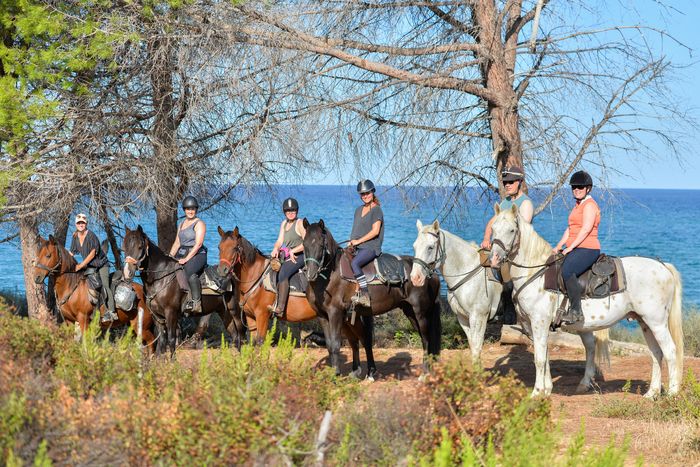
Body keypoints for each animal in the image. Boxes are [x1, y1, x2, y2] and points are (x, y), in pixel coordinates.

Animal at [122, 227, 246, 358]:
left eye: (140, 246)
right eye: (124, 248)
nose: (127, 272)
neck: (160, 277)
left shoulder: (171, 313)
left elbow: (171, 339)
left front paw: (172, 360)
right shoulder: (156, 315)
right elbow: (161, 339)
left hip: (235, 311)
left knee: (241, 335)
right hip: (224, 312)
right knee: (235, 336)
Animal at [217, 228, 372, 380]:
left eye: (235, 247)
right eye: (219, 247)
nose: (222, 270)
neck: (256, 277)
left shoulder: (262, 315)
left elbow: (261, 342)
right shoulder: (251, 318)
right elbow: (253, 343)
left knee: (362, 339)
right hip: (345, 318)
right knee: (356, 340)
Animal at [302, 220, 442, 380]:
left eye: (321, 244)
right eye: (304, 244)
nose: (311, 274)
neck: (331, 276)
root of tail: (430, 272)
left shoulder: (335, 314)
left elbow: (337, 344)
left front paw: (336, 375)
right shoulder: (323, 316)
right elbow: (332, 345)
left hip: (421, 312)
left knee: (426, 339)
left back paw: (425, 372)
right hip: (410, 311)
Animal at [410, 221, 504, 368]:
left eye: (430, 247)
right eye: (414, 246)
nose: (415, 278)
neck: (468, 273)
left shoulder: (479, 318)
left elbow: (477, 347)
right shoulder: (463, 318)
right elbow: (473, 346)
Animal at [486, 206, 684, 398]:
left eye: (512, 230)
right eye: (493, 228)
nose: (494, 259)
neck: (536, 274)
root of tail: (663, 266)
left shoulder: (539, 322)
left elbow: (540, 359)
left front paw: (536, 392)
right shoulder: (532, 324)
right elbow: (545, 356)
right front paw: (547, 389)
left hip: (656, 323)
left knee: (670, 351)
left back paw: (672, 393)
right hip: (645, 323)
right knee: (656, 353)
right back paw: (652, 393)